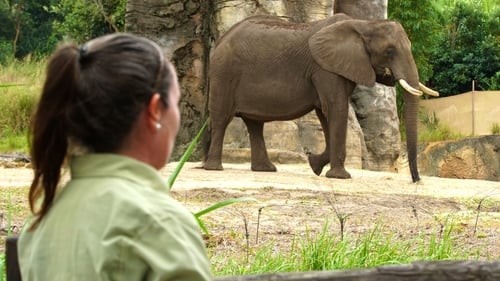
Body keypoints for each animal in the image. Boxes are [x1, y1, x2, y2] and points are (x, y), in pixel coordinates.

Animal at [203, 13, 438, 182]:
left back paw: (265, 170)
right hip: (224, 73)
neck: (363, 24)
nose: (416, 180)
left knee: (254, 124)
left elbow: (326, 114)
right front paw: (339, 177)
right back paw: (213, 168)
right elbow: (335, 108)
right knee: (222, 118)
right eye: (389, 51)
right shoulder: (325, 69)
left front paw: (315, 165)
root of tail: (221, 39)